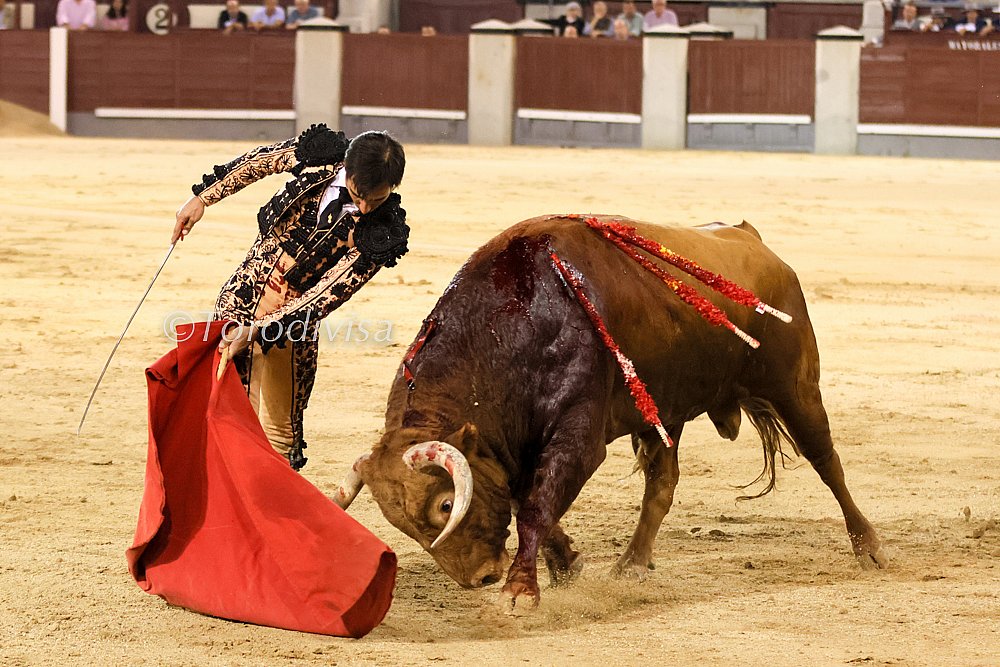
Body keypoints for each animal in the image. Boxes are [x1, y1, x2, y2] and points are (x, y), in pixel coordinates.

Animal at [333, 215, 888, 613]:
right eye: (402, 525)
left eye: (445, 505)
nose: (480, 577)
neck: (509, 327)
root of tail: (752, 239)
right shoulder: (508, 448)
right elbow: (525, 498)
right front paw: (566, 566)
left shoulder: (577, 437)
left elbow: (535, 505)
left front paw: (520, 591)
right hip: (665, 413)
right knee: (662, 483)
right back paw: (632, 564)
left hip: (795, 387)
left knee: (827, 461)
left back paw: (869, 548)